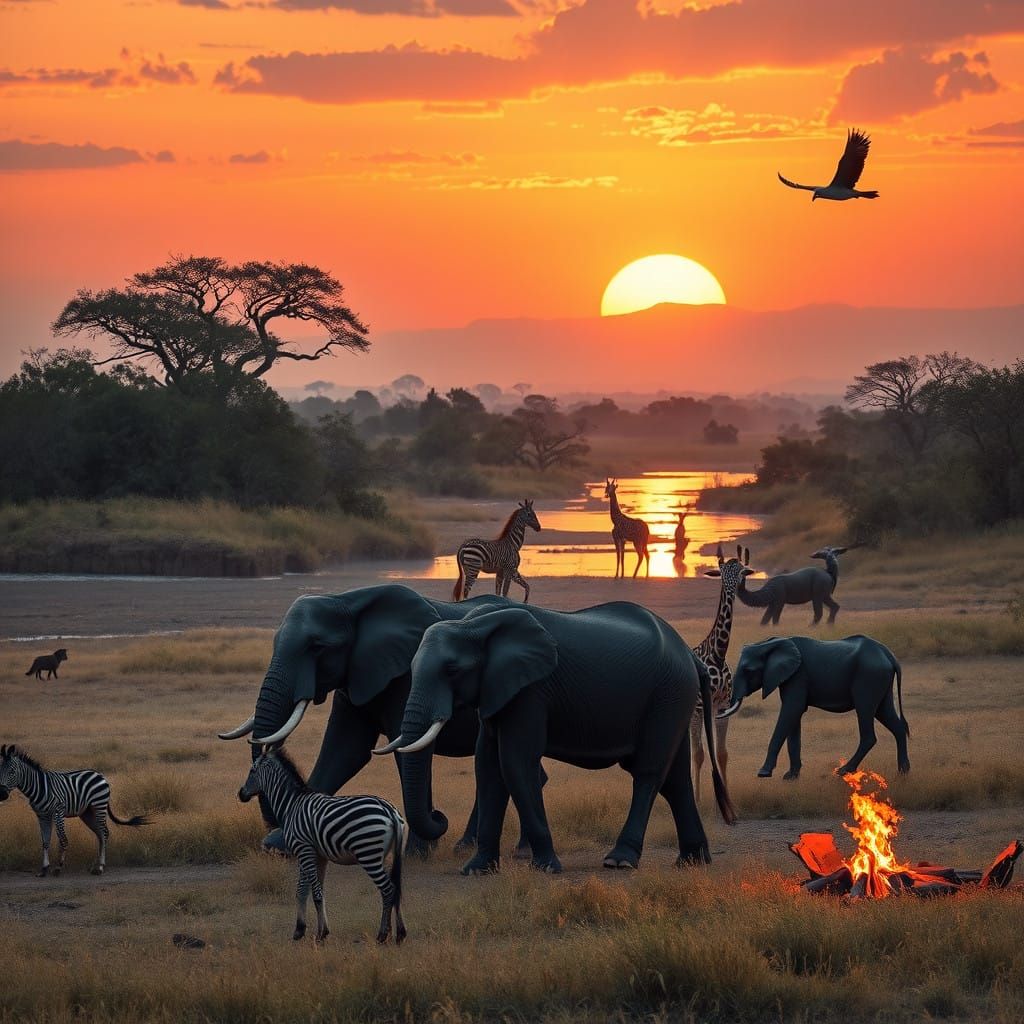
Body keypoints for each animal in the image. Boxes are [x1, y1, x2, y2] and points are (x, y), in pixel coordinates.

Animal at [217, 585, 543, 857]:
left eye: (317, 647)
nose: (440, 816)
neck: (347, 602)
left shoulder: (407, 676)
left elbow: (404, 752)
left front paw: (416, 854)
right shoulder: (356, 673)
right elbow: (344, 751)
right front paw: (281, 844)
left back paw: (518, 850)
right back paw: (471, 847)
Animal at [375, 602, 736, 875]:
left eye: (451, 670)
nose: (440, 816)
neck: (473, 624)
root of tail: (692, 657)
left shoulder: (531, 690)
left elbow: (516, 762)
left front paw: (546, 867)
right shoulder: (498, 689)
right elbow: (488, 765)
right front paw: (475, 870)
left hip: (668, 693)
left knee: (649, 773)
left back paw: (620, 860)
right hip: (674, 699)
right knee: (674, 779)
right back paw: (693, 861)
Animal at [730, 634, 909, 780]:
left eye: (748, 671)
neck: (769, 643)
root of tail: (889, 655)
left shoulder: (798, 676)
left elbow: (791, 710)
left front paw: (763, 773)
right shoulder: (792, 677)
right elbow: (793, 717)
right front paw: (791, 777)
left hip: (869, 677)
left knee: (867, 719)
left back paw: (843, 771)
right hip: (879, 680)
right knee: (887, 715)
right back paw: (904, 772)